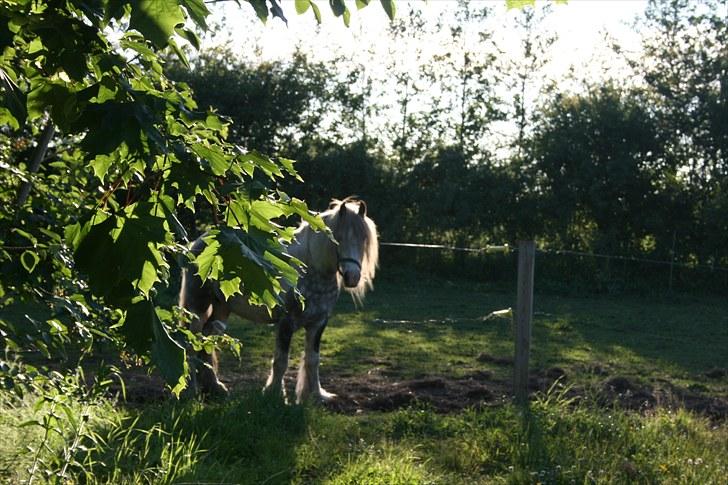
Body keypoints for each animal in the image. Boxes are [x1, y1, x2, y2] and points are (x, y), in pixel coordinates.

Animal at [178, 196, 378, 400]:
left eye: (363, 239)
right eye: (338, 238)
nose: (352, 277)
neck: (310, 270)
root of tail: (199, 241)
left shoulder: (319, 323)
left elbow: (313, 359)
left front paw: (316, 395)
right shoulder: (286, 323)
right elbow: (281, 361)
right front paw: (275, 393)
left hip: (222, 308)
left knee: (207, 338)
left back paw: (214, 387)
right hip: (197, 307)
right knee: (190, 342)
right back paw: (190, 391)